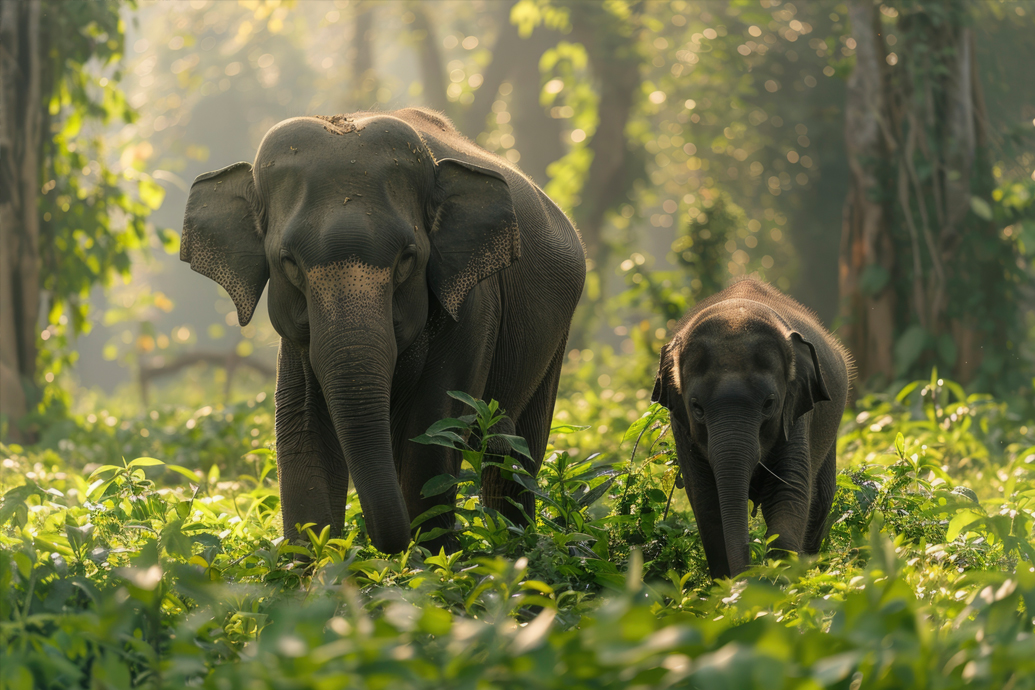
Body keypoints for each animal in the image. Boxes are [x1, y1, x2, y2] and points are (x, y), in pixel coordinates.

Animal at [180, 108, 585, 553]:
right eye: (288, 262)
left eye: (407, 259)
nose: (383, 544)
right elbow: (304, 427)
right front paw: (316, 560)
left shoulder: (475, 304)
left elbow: (434, 426)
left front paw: (431, 558)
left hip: (557, 337)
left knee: (517, 455)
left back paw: (517, 543)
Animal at [651, 278, 852, 578]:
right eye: (696, 407)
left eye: (769, 403)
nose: (747, 574)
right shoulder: (682, 428)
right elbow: (707, 503)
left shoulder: (795, 415)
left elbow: (788, 491)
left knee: (821, 499)